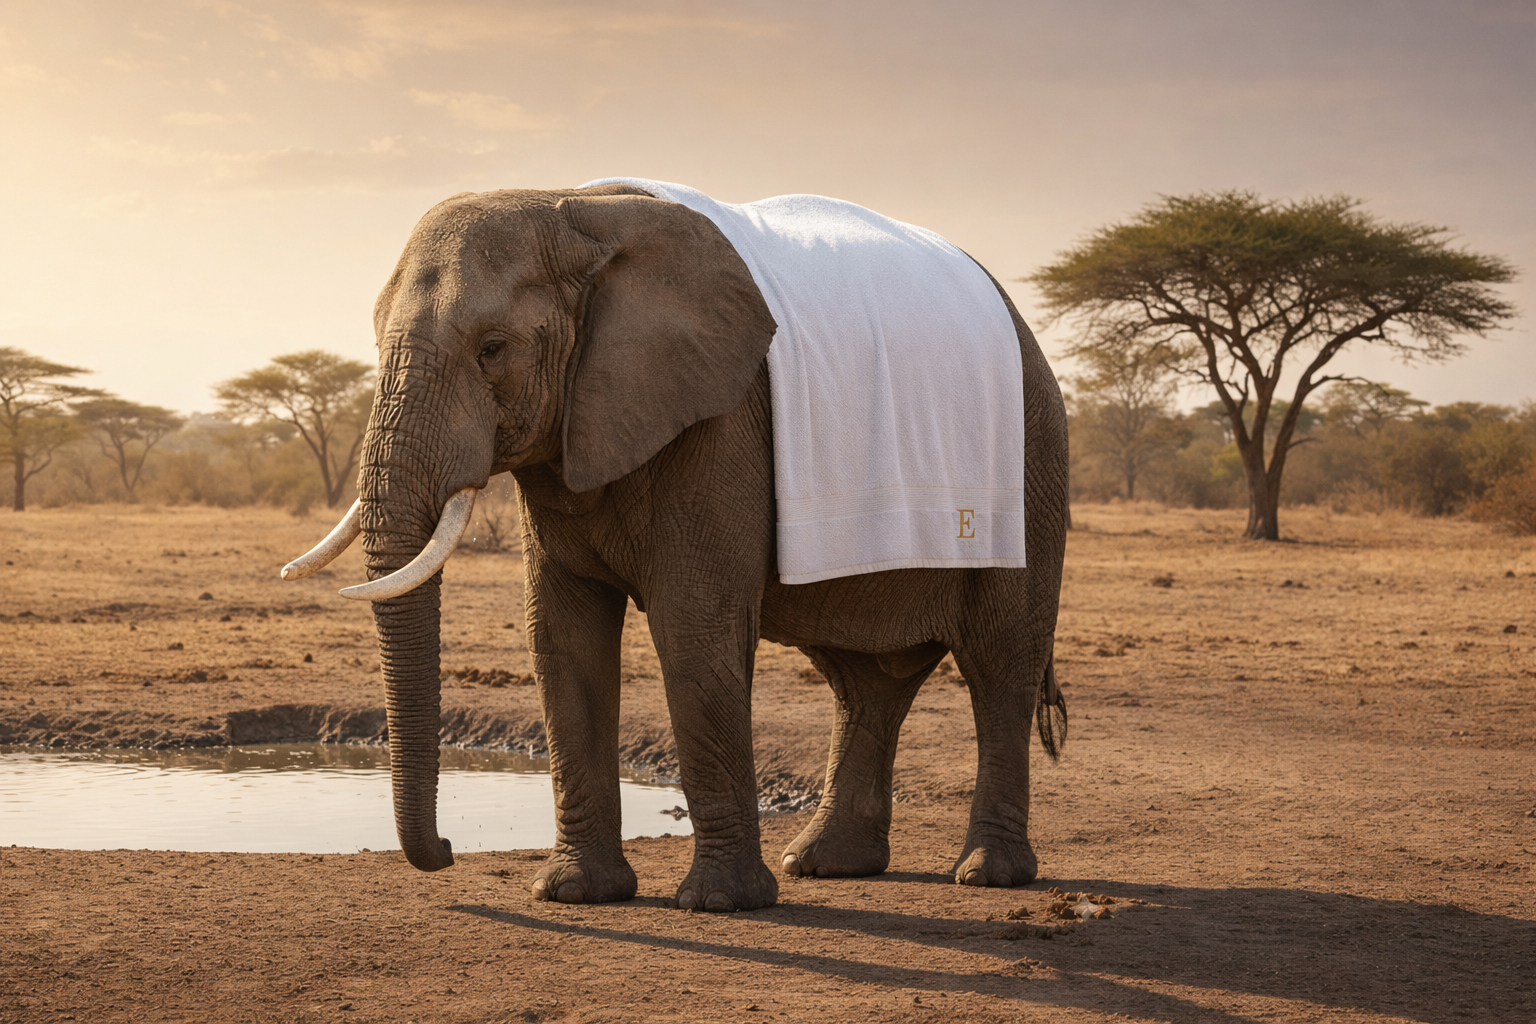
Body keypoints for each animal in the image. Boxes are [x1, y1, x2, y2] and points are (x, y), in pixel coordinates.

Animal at [281, 182, 1069, 913]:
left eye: (492, 349)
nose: (446, 850)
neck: (569, 211)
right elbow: (561, 636)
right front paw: (575, 894)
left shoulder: (722, 420)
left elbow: (693, 626)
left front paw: (720, 904)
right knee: (864, 680)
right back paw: (824, 865)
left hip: (1031, 460)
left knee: (1000, 665)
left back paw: (987, 875)